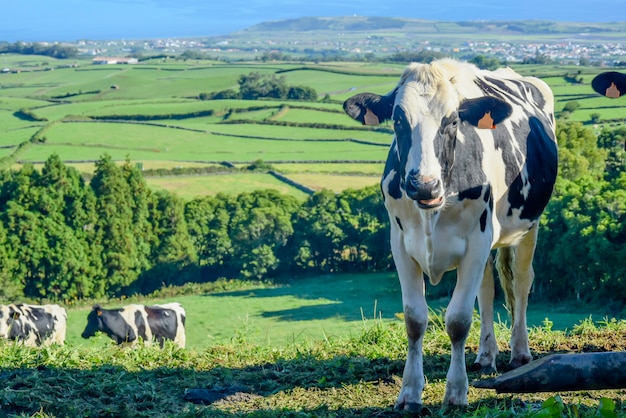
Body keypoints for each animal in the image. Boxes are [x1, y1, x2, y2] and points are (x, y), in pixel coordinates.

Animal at [346, 58, 556, 408]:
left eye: (454, 119)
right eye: (398, 120)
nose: (424, 185)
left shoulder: (478, 240)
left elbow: (458, 320)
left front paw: (456, 392)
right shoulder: (400, 242)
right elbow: (414, 319)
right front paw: (409, 393)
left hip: (530, 223)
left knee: (522, 282)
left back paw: (520, 352)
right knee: (487, 289)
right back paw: (486, 354)